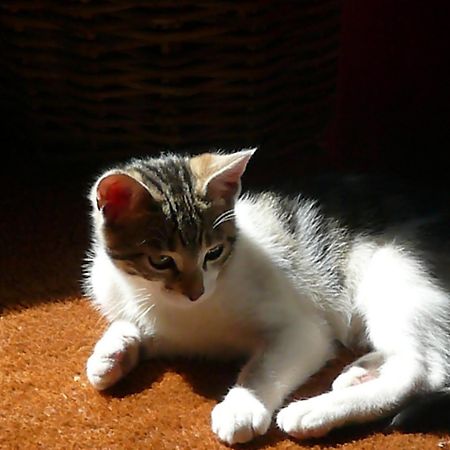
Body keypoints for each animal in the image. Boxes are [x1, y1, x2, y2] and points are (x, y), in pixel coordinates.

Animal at [84, 150, 450, 442]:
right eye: (161, 261)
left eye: (213, 252)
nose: (196, 292)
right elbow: (130, 322)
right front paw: (110, 354)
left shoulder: (302, 328)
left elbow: (265, 366)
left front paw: (242, 407)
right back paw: (359, 371)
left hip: (395, 275)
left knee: (421, 372)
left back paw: (314, 412)